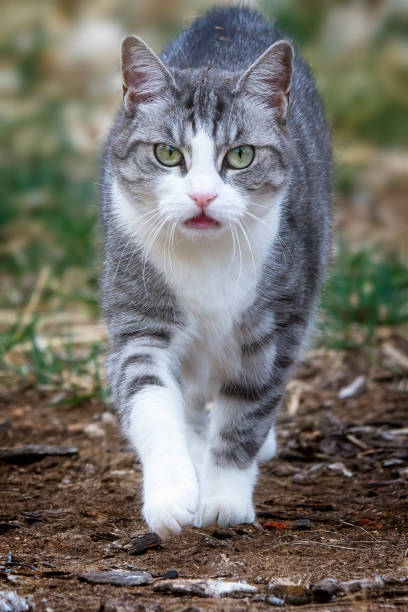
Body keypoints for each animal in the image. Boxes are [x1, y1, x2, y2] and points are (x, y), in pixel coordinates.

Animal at [99, 7, 332, 536]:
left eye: (240, 155)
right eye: (167, 153)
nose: (203, 195)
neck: (205, 259)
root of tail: (231, 12)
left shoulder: (277, 326)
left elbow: (246, 413)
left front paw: (223, 496)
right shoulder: (139, 320)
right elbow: (150, 400)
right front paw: (172, 493)